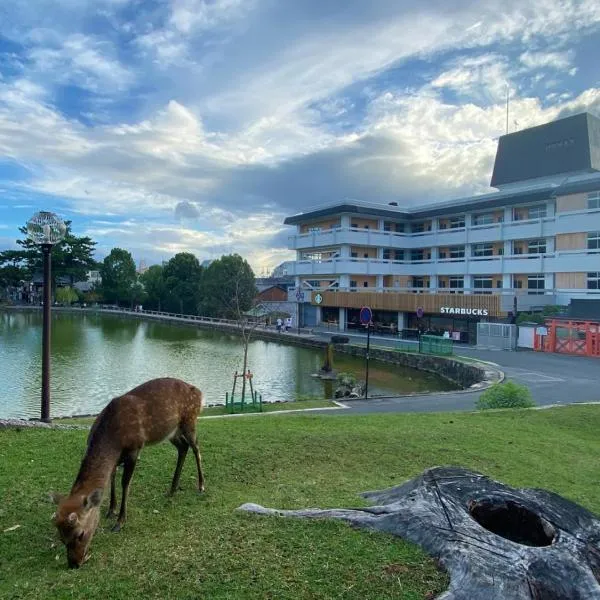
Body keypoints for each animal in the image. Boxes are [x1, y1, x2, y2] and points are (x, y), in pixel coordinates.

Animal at [50, 378, 204, 568]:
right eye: (61, 538)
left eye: (80, 534)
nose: (74, 564)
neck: (113, 438)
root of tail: (199, 392)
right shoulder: (117, 459)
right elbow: (112, 479)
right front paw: (110, 510)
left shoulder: (134, 448)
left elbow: (125, 483)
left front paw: (119, 522)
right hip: (171, 431)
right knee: (183, 447)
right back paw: (172, 489)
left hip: (190, 420)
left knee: (196, 448)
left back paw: (201, 485)